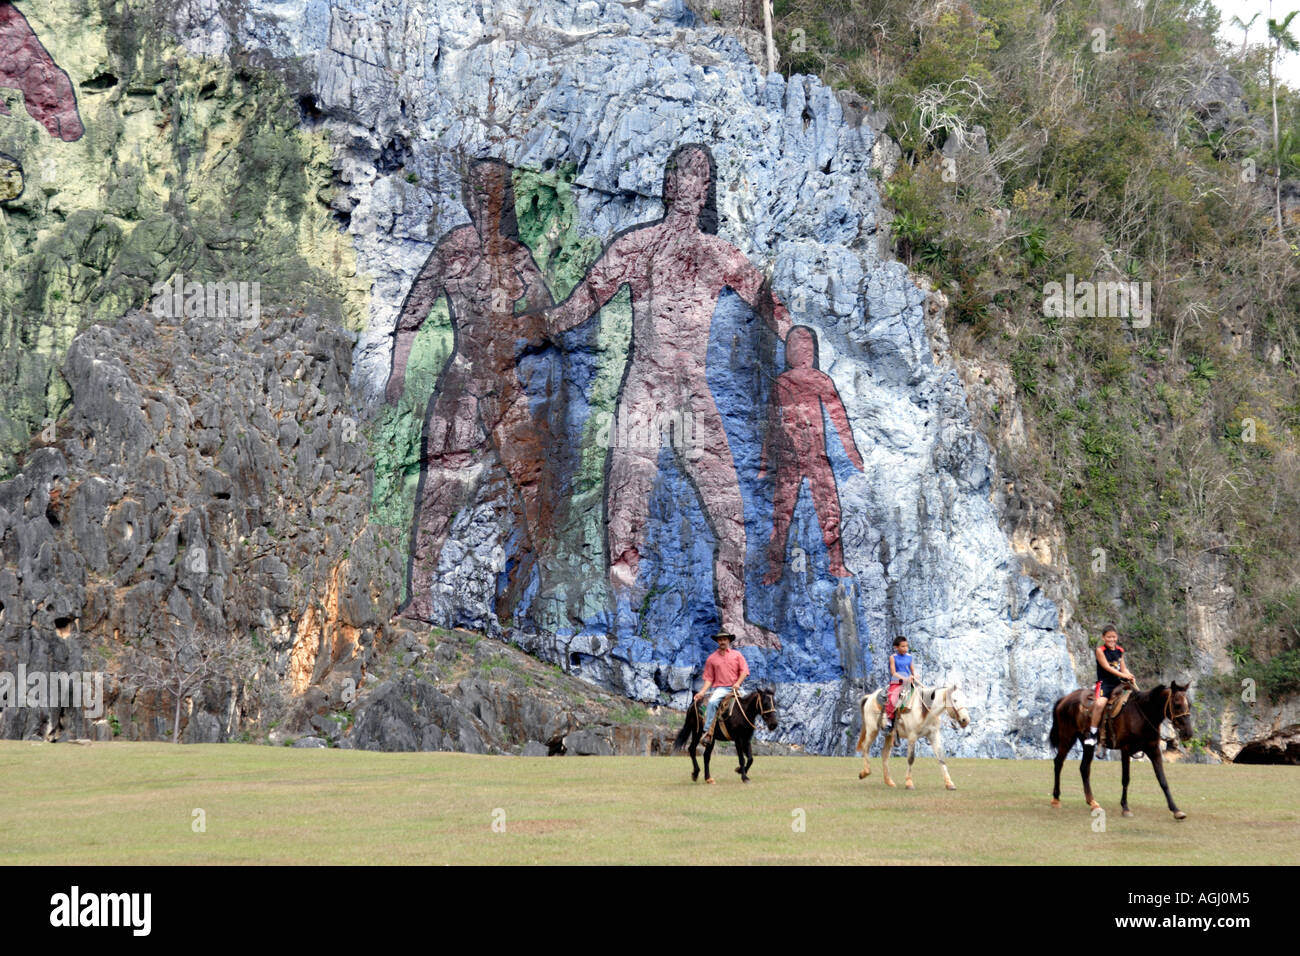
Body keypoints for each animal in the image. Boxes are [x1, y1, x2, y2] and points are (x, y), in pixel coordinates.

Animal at [1050, 681, 1190, 822]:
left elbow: (1162, 780)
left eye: (1188, 704)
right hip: (1067, 737)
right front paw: (1125, 808)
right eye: (1177, 704)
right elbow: (1125, 778)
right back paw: (1056, 799)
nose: (1188, 732)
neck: (1142, 714)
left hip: (1087, 744)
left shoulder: (1153, 750)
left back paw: (1093, 803)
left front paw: (1176, 810)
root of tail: (1065, 699)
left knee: (1084, 768)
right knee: (1058, 762)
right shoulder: (1126, 750)